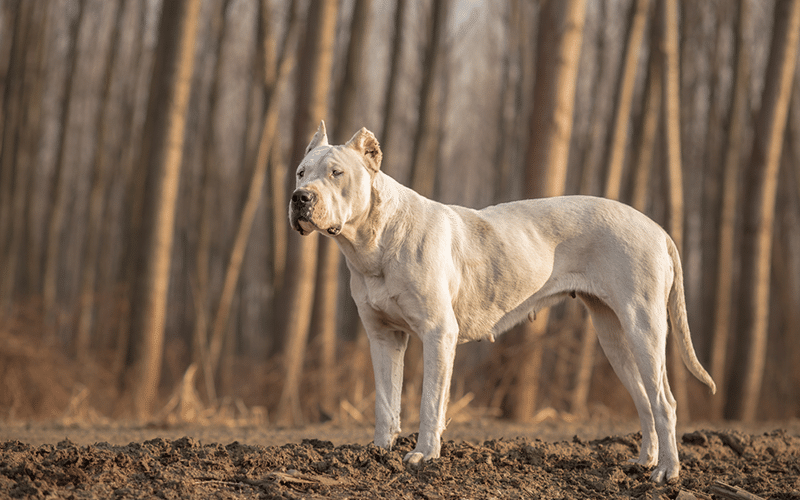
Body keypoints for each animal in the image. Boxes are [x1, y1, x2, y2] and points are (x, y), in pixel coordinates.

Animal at [290, 121, 716, 480]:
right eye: (301, 172)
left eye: (337, 173)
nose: (300, 198)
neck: (373, 242)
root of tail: (657, 228)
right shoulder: (383, 337)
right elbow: (385, 402)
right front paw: (378, 453)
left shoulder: (438, 334)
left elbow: (430, 402)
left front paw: (423, 455)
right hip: (614, 336)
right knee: (645, 400)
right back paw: (645, 461)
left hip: (643, 327)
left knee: (664, 402)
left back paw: (667, 472)